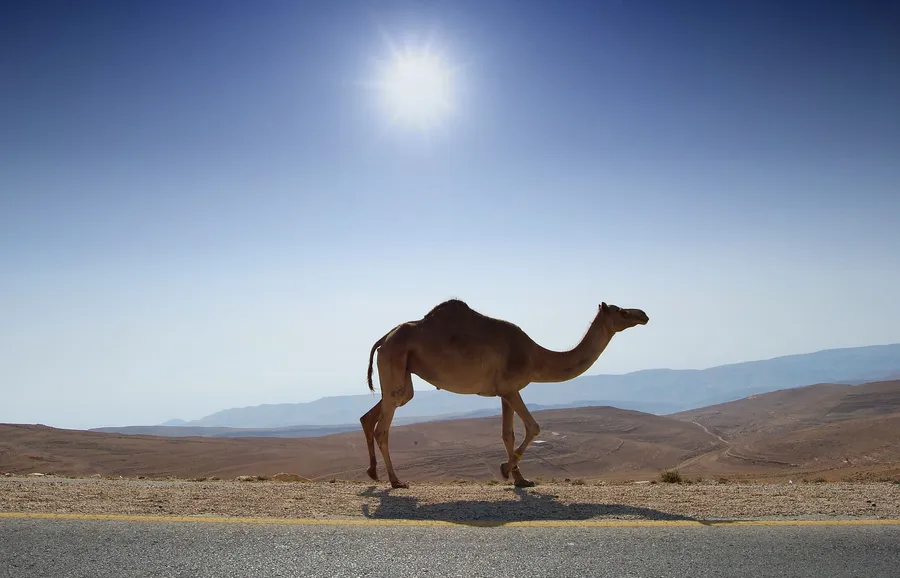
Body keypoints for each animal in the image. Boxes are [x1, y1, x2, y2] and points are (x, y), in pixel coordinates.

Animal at [359, 299, 649, 489]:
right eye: (622, 312)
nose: (643, 314)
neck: (535, 356)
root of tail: (383, 338)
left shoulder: (504, 392)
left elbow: (507, 434)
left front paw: (520, 478)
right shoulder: (511, 387)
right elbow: (533, 427)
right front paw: (505, 469)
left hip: (400, 373)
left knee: (376, 411)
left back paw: (373, 473)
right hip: (395, 359)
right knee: (383, 426)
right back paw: (396, 481)